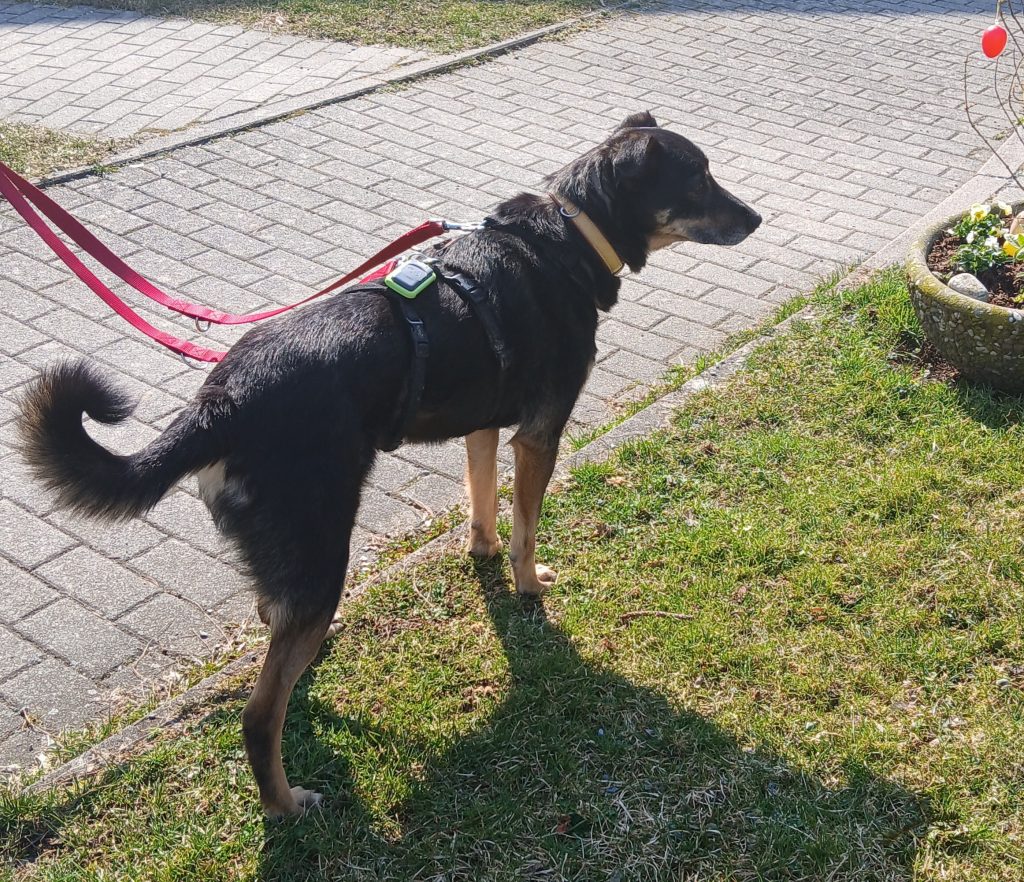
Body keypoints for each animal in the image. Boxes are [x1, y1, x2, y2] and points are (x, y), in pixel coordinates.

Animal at [17, 111, 760, 817]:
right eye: (699, 180)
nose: (756, 219)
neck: (567, 236)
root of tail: (222, 400)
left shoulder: (485, 427)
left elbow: (484, 504)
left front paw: (483, 553)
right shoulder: (538, 435)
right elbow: (526, 528)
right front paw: (529, 587)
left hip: (295, 557)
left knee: (273, 631)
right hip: (323, 550)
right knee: (258, 716)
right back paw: (287, 804)